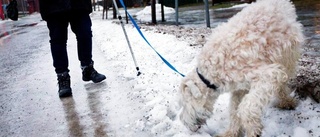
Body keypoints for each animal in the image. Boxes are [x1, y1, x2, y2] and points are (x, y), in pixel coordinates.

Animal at [179, 0, 304, 137]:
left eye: (183, 103)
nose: (183, 123)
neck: (209, 76)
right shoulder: (239, 87)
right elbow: (234, 110)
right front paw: (231, 132)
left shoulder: (268, 74)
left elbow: (246, 107)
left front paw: (253, 129)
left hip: (287, 54)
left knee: (283, 82)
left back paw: (286, 102)